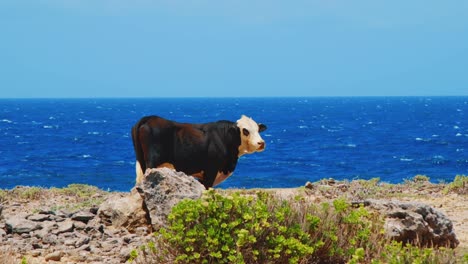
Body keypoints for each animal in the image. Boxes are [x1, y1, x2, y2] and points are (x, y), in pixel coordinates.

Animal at [131, 114, 266, 189]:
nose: (261, 143)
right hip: (152, 162)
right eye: (245, 130)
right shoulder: (211, 170)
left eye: (258, 129)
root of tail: (149, 118)